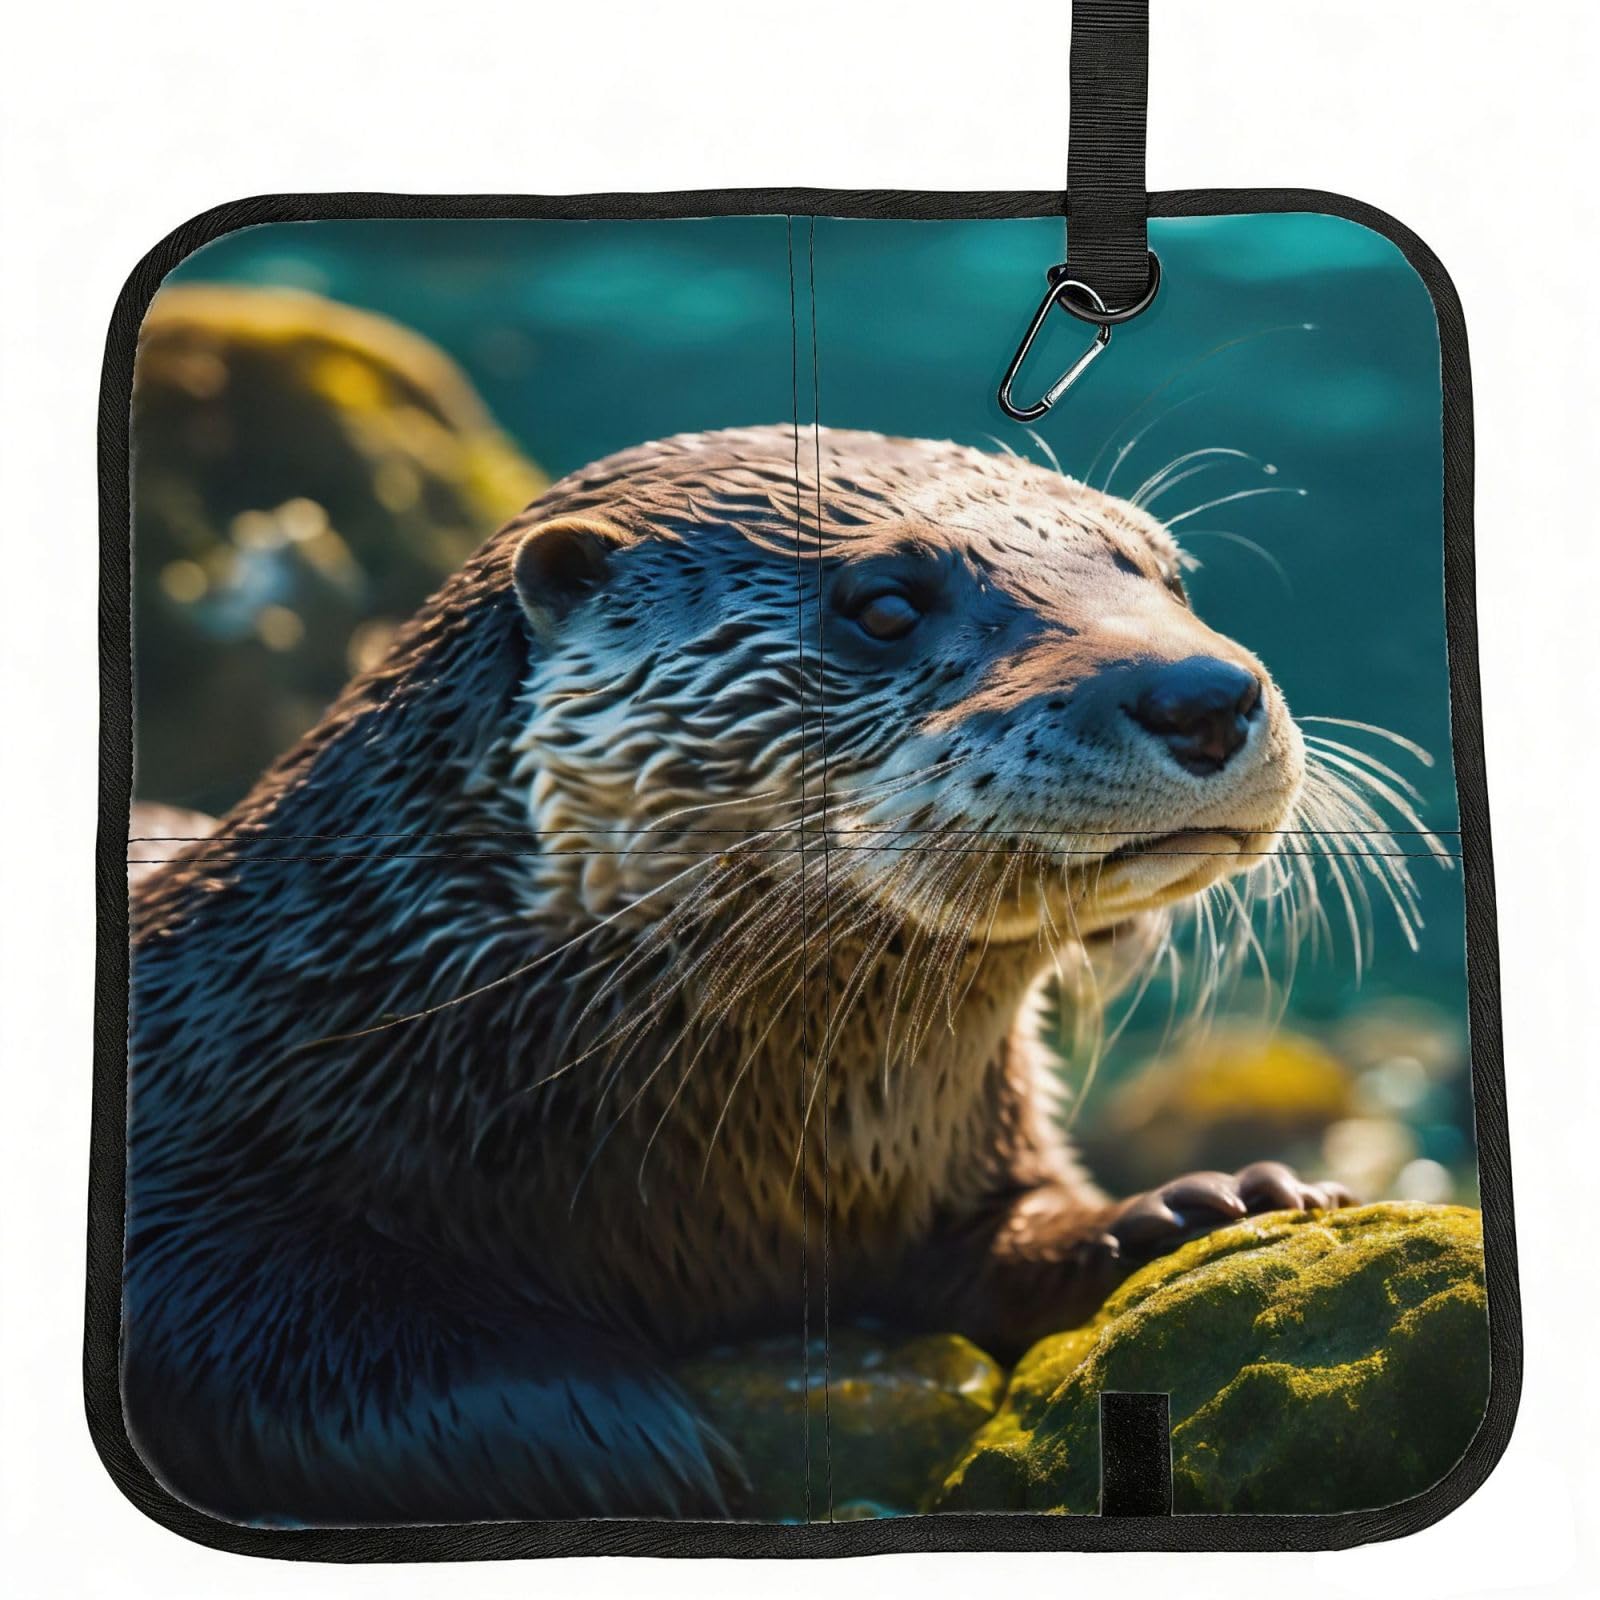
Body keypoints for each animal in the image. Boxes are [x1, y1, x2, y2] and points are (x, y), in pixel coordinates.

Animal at [125, 425, 1366, 1525]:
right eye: (885, 603)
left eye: (1165, 573)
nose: (1200, 692)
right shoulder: (188, 1160)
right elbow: (276, 1320)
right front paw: (623, 1433)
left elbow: (1001, 1236)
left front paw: (1197, 1207)